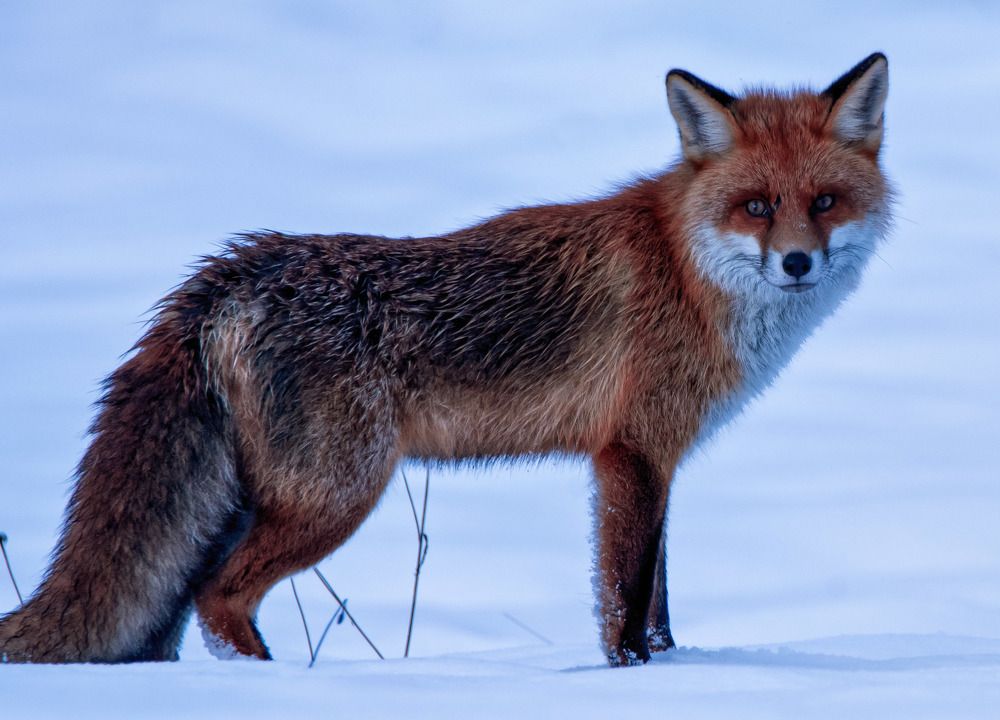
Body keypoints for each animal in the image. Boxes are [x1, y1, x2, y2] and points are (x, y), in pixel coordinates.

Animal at [0, 53, 891, 667]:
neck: (687, 270)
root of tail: (236, 269)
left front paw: (674, 671)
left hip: (248, 503)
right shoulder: (631, 454)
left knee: (182, 606)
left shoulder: (656, 461)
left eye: (824, 203)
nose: (798, 264)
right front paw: (631, 676)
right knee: (220, 600)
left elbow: (660, 600)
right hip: (336, 494)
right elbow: (625, 600)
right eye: (756, 207)